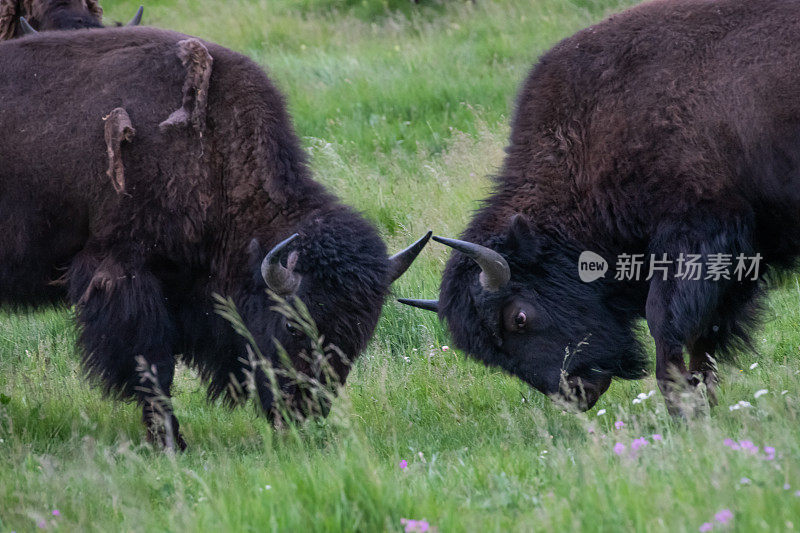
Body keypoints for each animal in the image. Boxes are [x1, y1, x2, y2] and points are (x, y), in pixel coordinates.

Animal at [1, 26, 432, 448]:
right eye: (294, 326)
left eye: (360, 334)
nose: (303, 417)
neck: (212, 149)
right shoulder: (123, 271)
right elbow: (152, 367)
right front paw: (170, 444)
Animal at [400, 0, 800, 416]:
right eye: (488, 356)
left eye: (519, 317)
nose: (575, 393)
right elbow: (704, 339)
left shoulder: (696, 237)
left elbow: (667, 324)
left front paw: (683, 407)